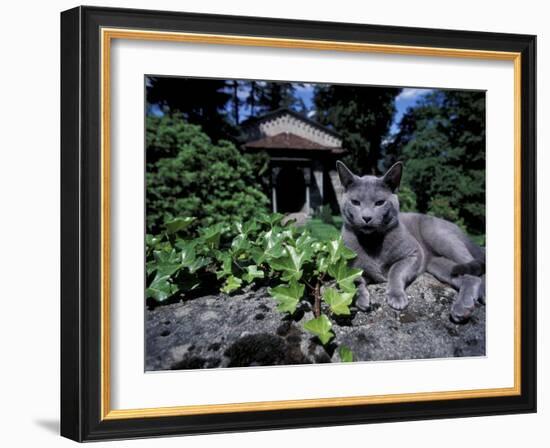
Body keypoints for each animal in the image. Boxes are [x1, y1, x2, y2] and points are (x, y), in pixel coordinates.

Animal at [336, 161, 488, 322]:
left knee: (476, 269)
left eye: (379, 203)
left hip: (440, 238)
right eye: (355, 202)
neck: (372, 242)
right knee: (469, 277)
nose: (366, 217)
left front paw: (396, 297)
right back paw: (463, 309)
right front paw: (361, 299)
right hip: (437, 264)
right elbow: (352, 281)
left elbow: (395, 271)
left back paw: (473, 300)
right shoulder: (349, 268)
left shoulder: (413, 254)